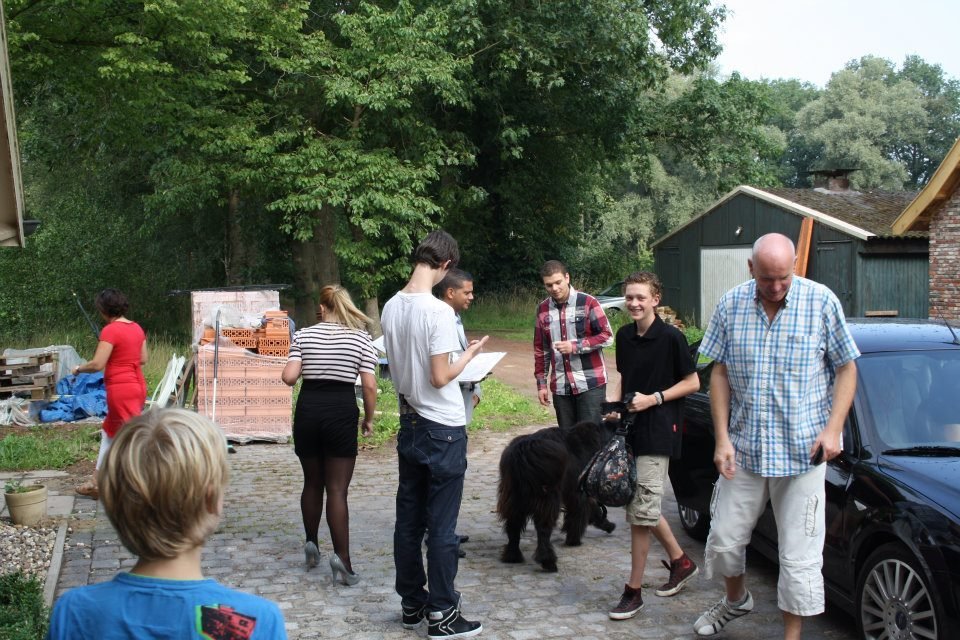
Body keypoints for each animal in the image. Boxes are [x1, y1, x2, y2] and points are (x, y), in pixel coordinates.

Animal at [496, 422, 616, 572]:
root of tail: (522, 452)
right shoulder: (578, 492)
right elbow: (583, 512)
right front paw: (574, 540)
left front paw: (606, 524)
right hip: (547, 498)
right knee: (543, 529)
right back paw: (548, 561)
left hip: (513, 498)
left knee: (513, 526)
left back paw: (513, 556)